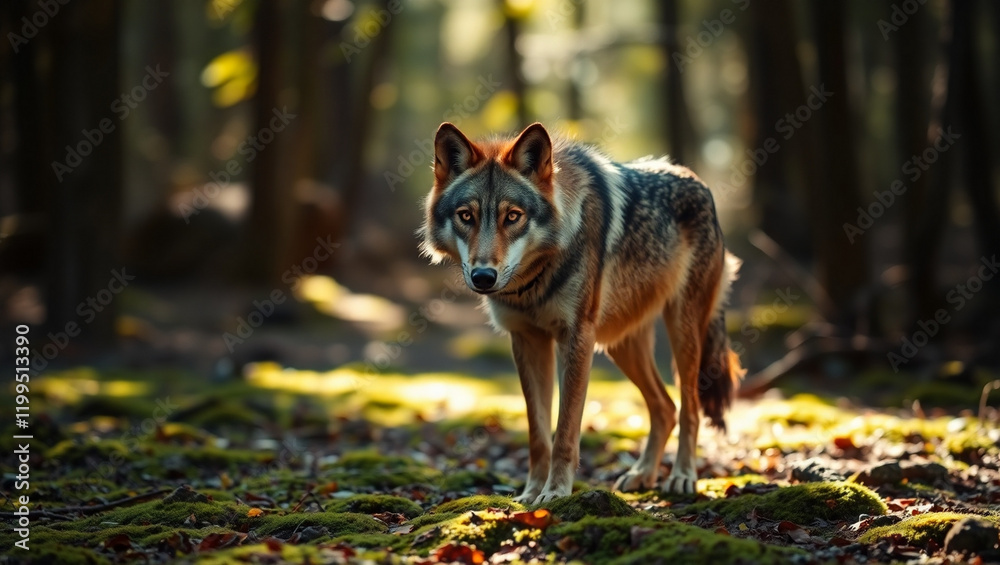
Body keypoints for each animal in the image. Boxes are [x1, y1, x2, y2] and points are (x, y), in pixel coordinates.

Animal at [421, 122, 744, 504]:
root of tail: (699, 182)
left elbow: (565, 430)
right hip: (620, 345)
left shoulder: (575, 338)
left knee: (689, 408)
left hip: (682, 333)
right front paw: (531, 494)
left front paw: (555, 493)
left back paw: (682, 477)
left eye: (512, 216)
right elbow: (537, 433)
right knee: (665, 408)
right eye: (466, 216)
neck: (535, 281)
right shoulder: (527, 340)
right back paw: (642, 475)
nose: (483, 277)